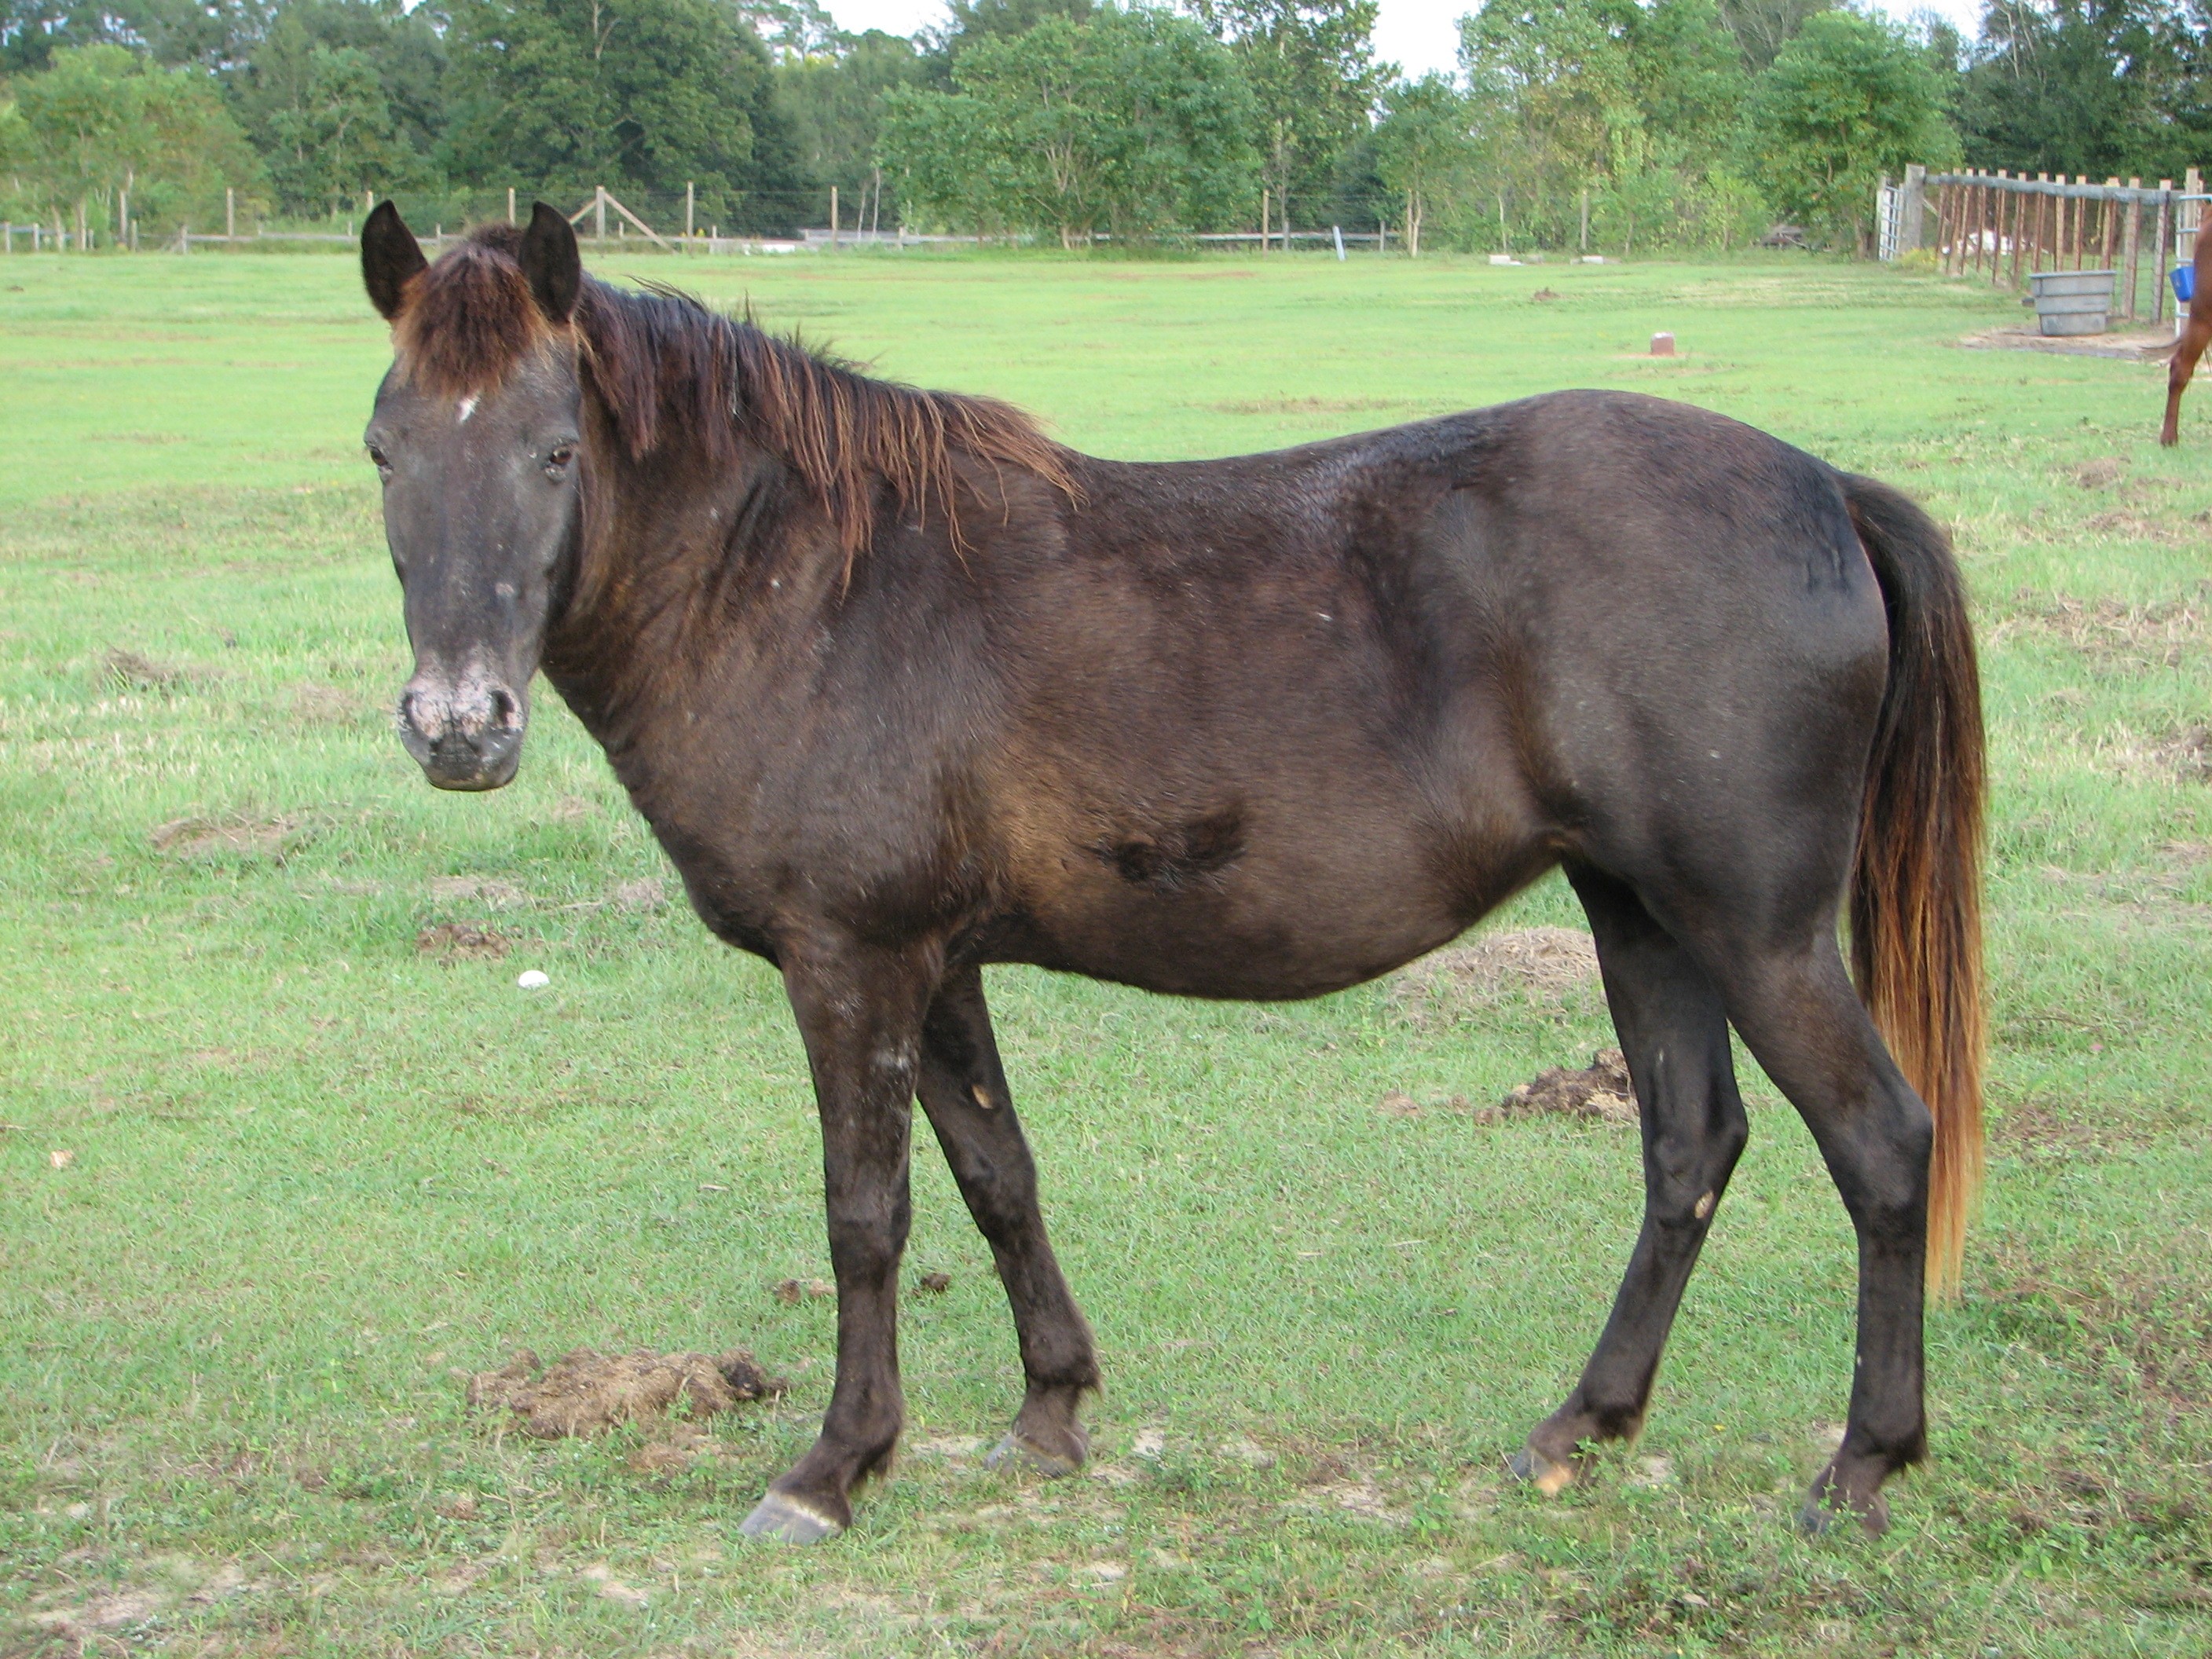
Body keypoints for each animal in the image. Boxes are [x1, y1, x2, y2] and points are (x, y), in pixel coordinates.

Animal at [357, 202, 1985, 1544]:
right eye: (385, 449)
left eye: (554, 449)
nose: (458, 726)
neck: (819, 585)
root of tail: (1822, 489)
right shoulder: (935, 966)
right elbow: (997, 1175)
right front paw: (1048, 1410)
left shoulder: (851, 963)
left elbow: (866, 1214)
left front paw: (832, 1467)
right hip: (1640, 916)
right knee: (1688, 1149)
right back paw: (1578, 1428)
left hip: (1758, 935)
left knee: (1881, 1145)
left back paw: (1859, 1467)